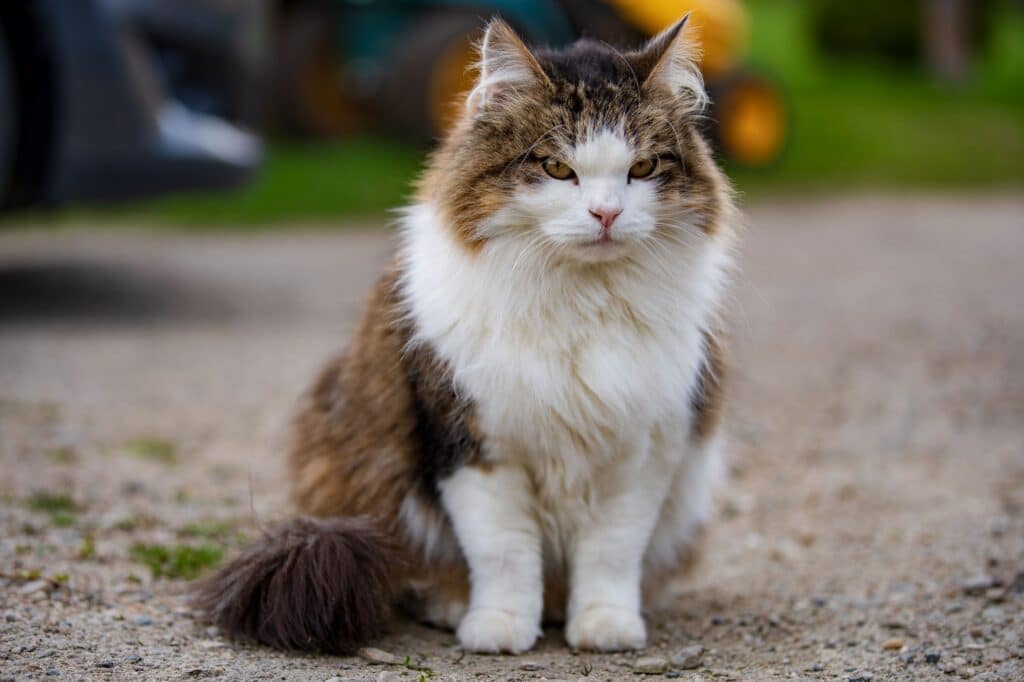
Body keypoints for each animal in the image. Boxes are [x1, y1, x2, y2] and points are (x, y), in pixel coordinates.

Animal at [193, 14, 737, 655]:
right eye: (558, 169)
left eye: (643, 169)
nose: (606, 215)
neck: (579, 301)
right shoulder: (471, 444)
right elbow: (504, 553)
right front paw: (499, 626)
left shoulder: (644, 448)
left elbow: (611, 552)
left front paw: (605, 624)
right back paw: (452, 604)